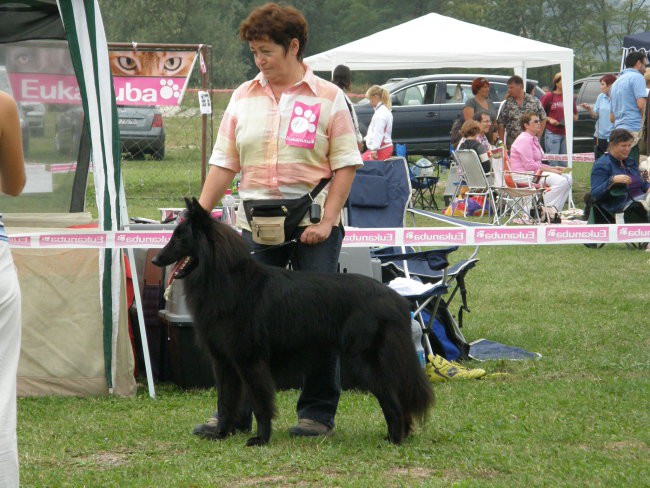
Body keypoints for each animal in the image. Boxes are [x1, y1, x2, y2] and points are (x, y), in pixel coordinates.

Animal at [153, 198, 432, 446]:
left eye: (179, 238)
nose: (155, 260)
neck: (226, 279)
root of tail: (395, 298)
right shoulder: (224, 362)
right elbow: (226, 402)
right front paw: (222, 433)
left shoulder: (250, 361)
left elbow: (260, 404)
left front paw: (261, 439)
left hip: (367, 362)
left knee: (393, 402)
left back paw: (394, 439)